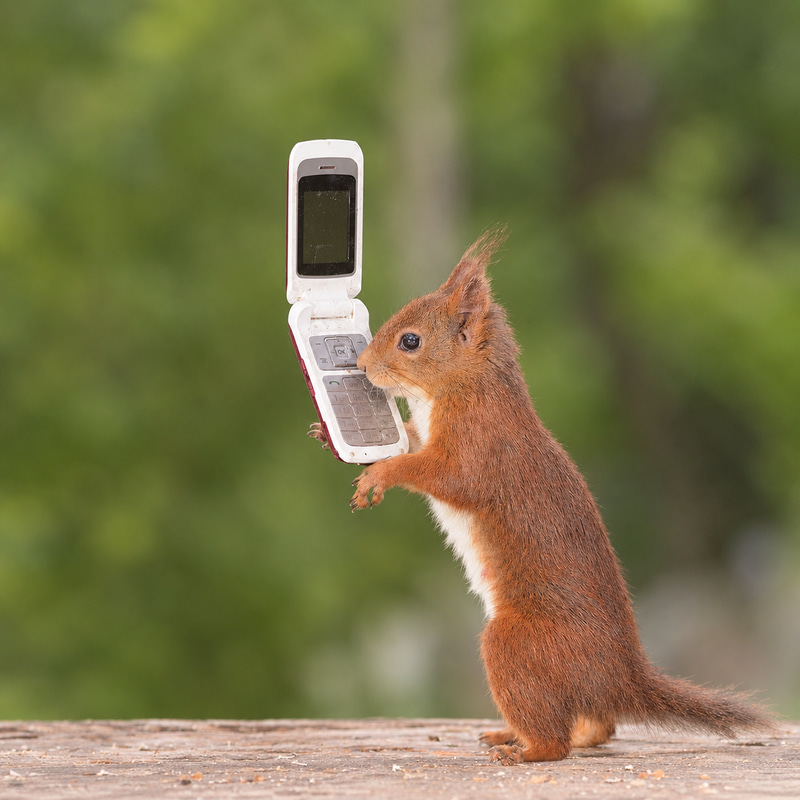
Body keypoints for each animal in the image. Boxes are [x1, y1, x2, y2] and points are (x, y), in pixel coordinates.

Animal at [310, 229, 773, 764]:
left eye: (411, 341)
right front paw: (329, 436)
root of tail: (619, 679)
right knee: (599, 726)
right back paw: (524, 735)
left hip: (516, 645)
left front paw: (380, 474)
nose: (361, 365)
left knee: (556, 741)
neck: (468, 387)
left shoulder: (478, 447)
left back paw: (524, 750)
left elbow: (441, 473)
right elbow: (409, 436)